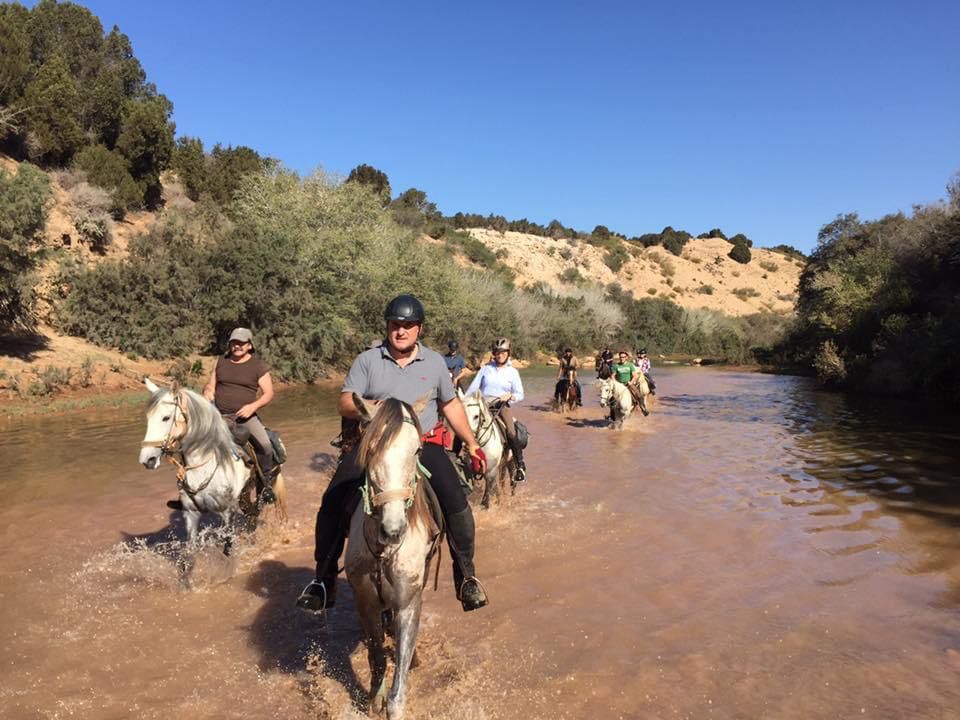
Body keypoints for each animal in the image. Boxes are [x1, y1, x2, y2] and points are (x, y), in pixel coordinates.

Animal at [139, 380, 286, 584]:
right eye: (148, 418)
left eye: (166, 418)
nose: (147, 460)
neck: (205, 465)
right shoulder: (191, 513)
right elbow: (189, 554)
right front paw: (186, 584)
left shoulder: (227, 511)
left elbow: (227, 547)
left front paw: (224, 575)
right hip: (244, 494)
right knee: (250, 515)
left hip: (260, 487)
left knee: (256, 512)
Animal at [344, 396, 442, 716]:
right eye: (371, 447)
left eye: (417, 450)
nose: (393, 530)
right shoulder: (366, 601)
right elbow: (376, 656)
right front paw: (375, 698)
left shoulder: (408, 602)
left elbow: (399, 686)